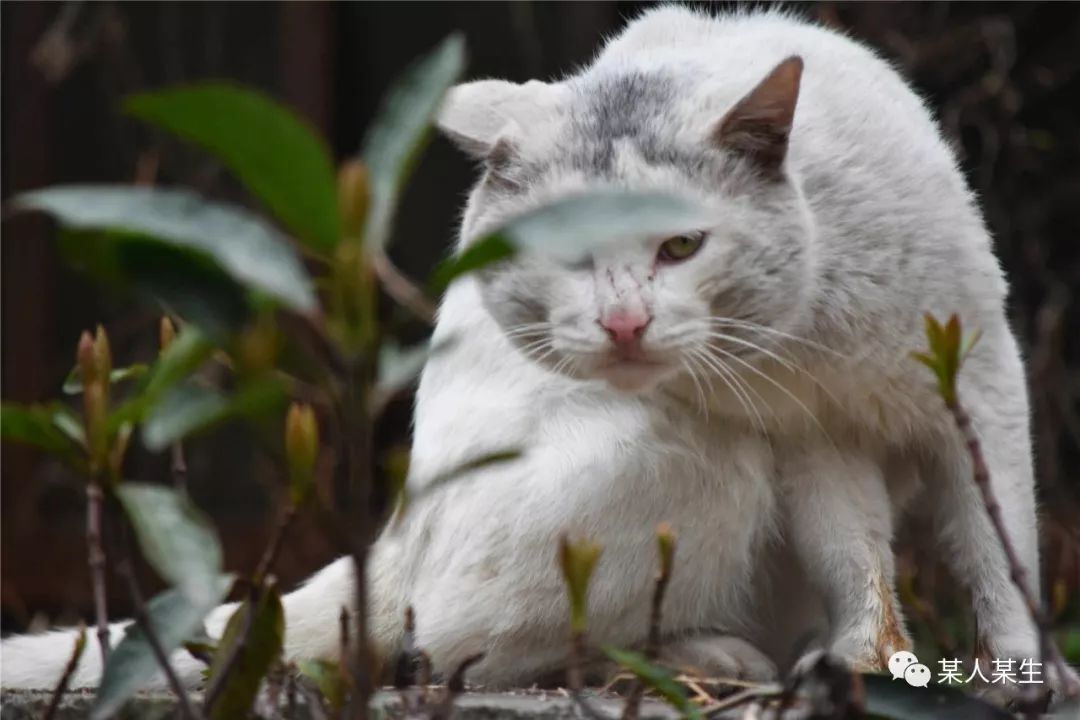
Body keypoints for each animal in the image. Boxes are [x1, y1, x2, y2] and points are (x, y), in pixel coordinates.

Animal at [0, 2, 1054, 699]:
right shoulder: (801, 436)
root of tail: (390, 537)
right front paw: (873, 659)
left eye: (682, 247)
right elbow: (856, 553)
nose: (625, 325)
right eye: (572, 255)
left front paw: (1015, 667)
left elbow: (998, 539)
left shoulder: (981, 374)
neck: (815, 334)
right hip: (691, 447)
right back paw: (707, 659)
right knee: (455, 651)